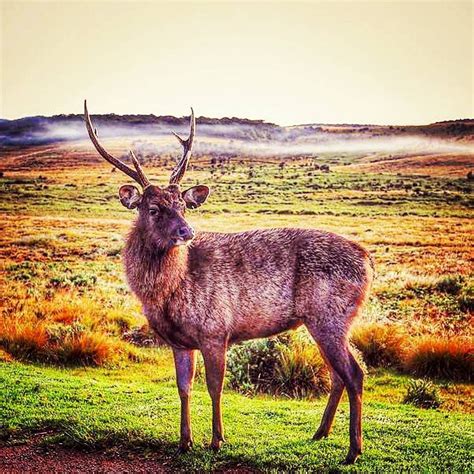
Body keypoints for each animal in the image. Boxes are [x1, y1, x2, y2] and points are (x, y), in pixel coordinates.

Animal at [84, 101, 374, 466]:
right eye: (152, 208)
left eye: (182, 206)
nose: (187, 232)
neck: (168, 293)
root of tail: (368, 261)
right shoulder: (179, 341)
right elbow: (183, 387)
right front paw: (184, 441)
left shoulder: (215, 329)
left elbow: (214, 386)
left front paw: (217, 441)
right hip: (323, 320)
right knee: (339, 373)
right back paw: (320, 433)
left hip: (330, 315)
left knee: (355, 372)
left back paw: (353, 450)